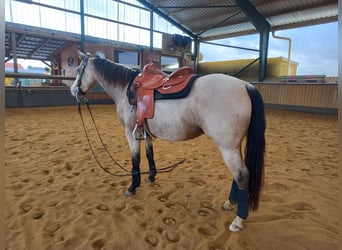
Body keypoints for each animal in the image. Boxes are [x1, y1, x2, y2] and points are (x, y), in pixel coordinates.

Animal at [70, 50, 268, 232]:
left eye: (79, 69)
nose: (73, 90)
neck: (126, 87)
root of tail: (245, 85)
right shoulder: (145, 133)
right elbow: (149, 154)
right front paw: (151, 177)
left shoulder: (130, 133)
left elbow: (135, 160)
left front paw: (133, 187)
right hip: (235, 146)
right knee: (238, 176)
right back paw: (229, 203)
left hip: (228, 148)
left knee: (242, 176)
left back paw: (238, 220)